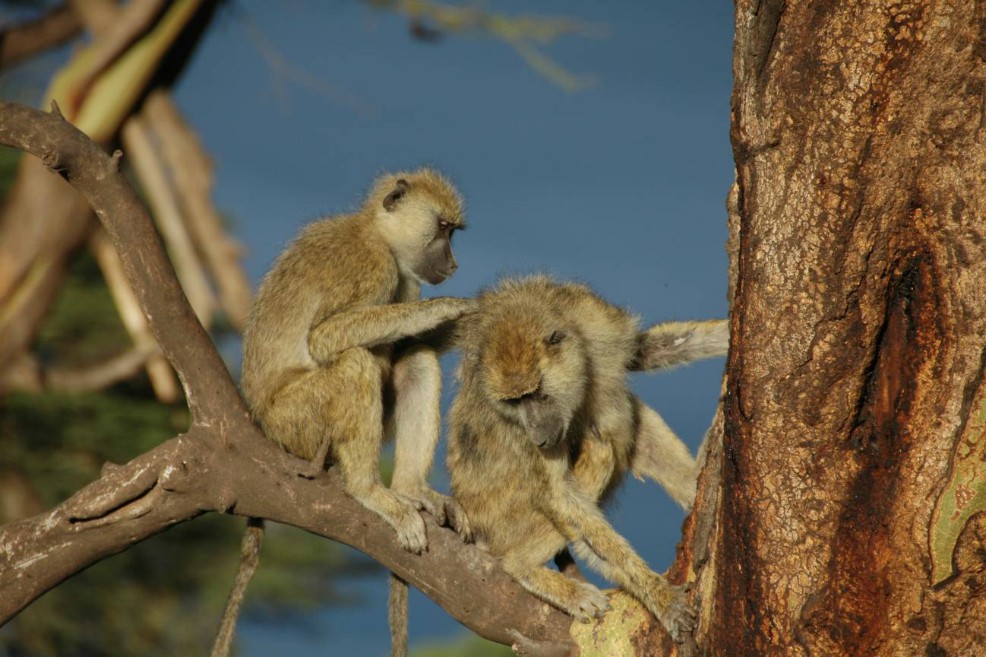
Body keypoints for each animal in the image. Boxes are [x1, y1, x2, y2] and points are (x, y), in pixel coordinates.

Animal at [211, 169, 473, 657]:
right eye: (443, 229)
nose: (453, 266)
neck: (376, 232)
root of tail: (261, 423)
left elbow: (410, 348)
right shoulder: (373, 267)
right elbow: (323, 338)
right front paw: (445, 309)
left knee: (416, 360)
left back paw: (410, 488)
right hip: (296, 424)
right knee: (356, 364)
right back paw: (369, 490)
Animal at [446, 274, 728, 642]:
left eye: (535, 395)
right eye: (514, 402)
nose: (538, 436)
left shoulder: (594, 319)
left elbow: (645, 351)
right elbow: (557, 494)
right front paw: (661, 597)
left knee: (621, 415)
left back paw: (697, 482)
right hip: (502, 521)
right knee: (601, 447)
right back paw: (526, 568)